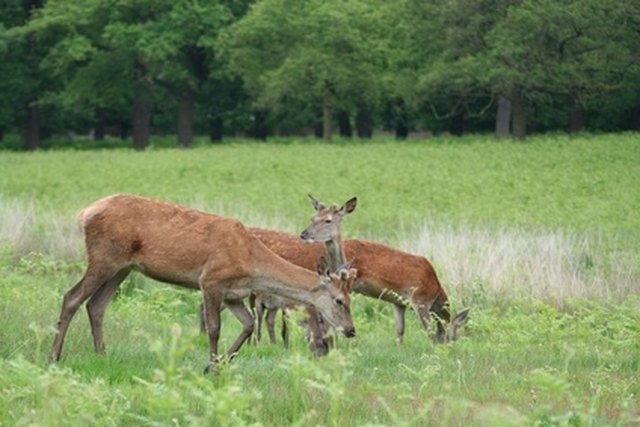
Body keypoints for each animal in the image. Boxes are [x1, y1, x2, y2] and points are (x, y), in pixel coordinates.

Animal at [51, 194, 356, 372]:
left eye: (352, 299)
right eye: (339, 300)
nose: (351, 330)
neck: (250, 262)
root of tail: (84, 213)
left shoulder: (234, 293)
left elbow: (247, 325)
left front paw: (219, 364)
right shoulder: (211, 280)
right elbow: (213, 328)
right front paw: (210, 365)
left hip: (122, 267)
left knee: (96, 305)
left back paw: (102, 356)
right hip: (104, 255)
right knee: (72, 297)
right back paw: (54, 356)